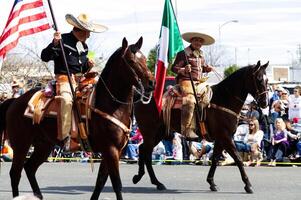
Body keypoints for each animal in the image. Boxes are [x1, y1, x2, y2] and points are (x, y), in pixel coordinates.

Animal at [0, 36, 154, 200]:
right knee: (15, 173)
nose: (152, 83)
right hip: (21, 145)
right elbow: (116, 184)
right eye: (131, 61)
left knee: (29, 168)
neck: (110, 104)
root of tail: (14, 101)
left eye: (144, 59)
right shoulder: (111, 149)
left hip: (44, 145)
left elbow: (100, 181)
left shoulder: (114, 151)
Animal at [132, 61, 268, 194]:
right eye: (259, 79)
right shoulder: (225, 137)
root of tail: (142, 98)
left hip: (158, 133)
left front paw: (211, 182)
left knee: (143, 150)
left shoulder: (221, 138)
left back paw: (148, 180)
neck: (223, 99)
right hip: (150, 132)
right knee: (146, 152)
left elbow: (215, 159)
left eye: (267, 80)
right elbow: (238, 159)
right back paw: (152, 180)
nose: (265, 103)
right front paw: (248, 185)